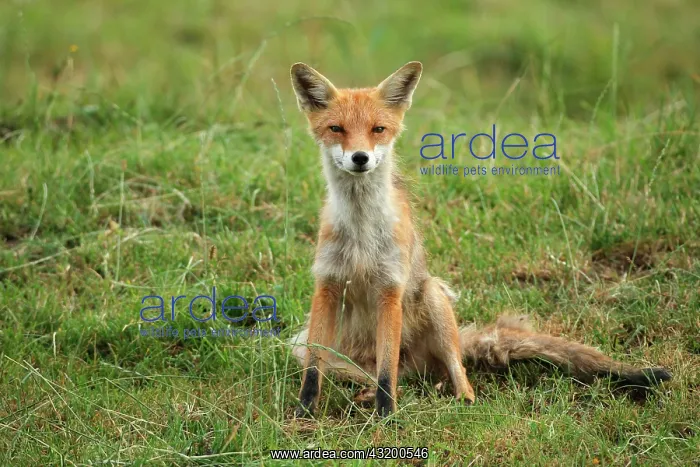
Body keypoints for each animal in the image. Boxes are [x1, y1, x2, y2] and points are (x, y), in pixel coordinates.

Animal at [288, 61, 671, 418]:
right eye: (336, 129)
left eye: (377, 129)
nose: (360, 158)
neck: (361, 233)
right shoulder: (326, 284)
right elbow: (314, 371)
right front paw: (304, 413)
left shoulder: (390, 289)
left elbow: (387, 373)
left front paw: (386, 416)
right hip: (304, 347)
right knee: (369, 373)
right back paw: (368, 394)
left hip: (434, 298)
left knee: (444, 368)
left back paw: (459, 396)